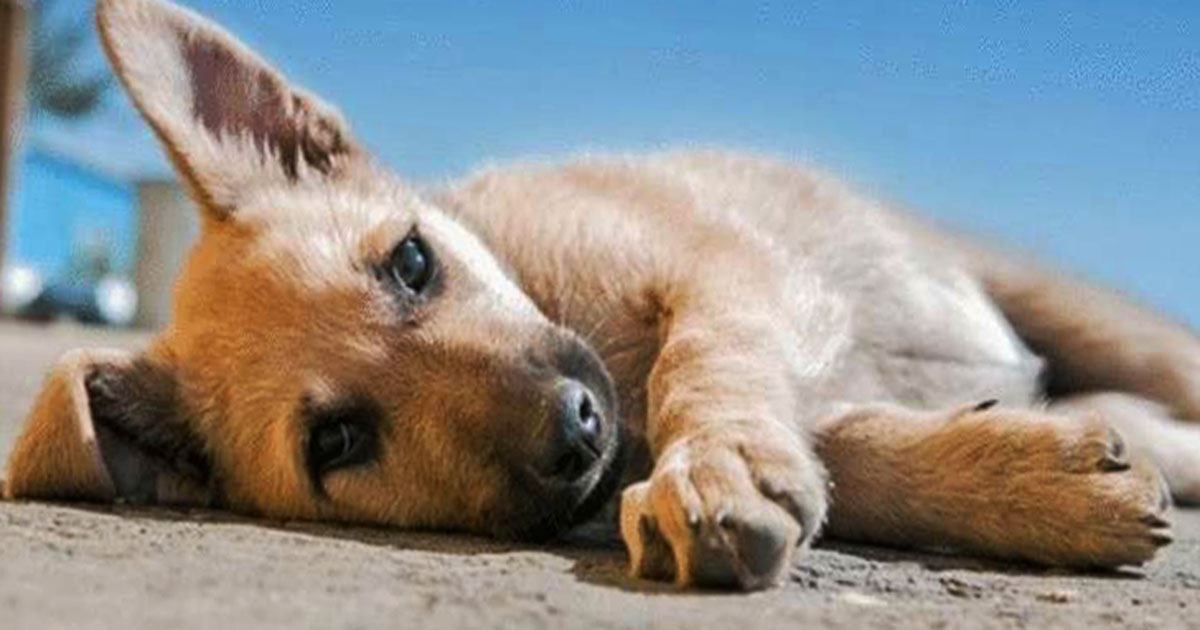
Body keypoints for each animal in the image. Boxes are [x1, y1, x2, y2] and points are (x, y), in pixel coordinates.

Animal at [4, 0, 1196, 590]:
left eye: (412, 264)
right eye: (336, 442)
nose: (576, 428)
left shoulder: (733, 270)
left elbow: (702, 364)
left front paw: (716, 464)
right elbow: (844, 450)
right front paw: (1030, 482)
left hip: (1085, 313)